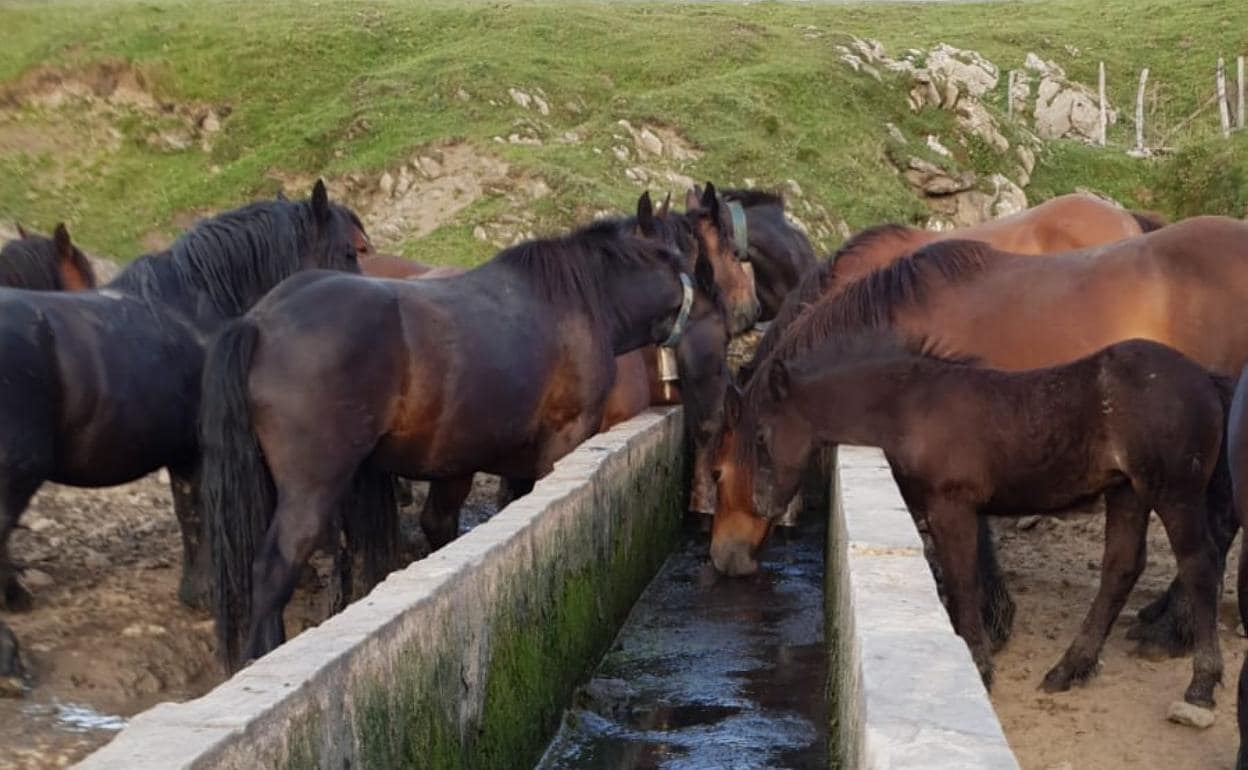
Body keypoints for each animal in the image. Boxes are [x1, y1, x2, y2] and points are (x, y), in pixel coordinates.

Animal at [0, 178, 369, 611]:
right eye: (352, 250)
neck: (197, 307)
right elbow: (206, 511)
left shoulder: (184, 453)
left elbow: (190, 514)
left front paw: (197, 590)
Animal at [718, 214, 1248, 653]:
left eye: (720, 472)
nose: (725, 559)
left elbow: (976, 544)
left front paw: (990, 622)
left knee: (1215, 531)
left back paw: (1174, 628)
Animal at [728, 329, 1228, 703]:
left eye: (760, 437)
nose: (764, 505)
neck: (911, 406)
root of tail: (1206, 378)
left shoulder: (952, 505)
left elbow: (963, 583)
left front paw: (980, 665)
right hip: (1126, 492)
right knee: (1121, 568)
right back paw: (1069, 669)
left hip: (1175, 492)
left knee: (1198, 565)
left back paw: (1202, 683)